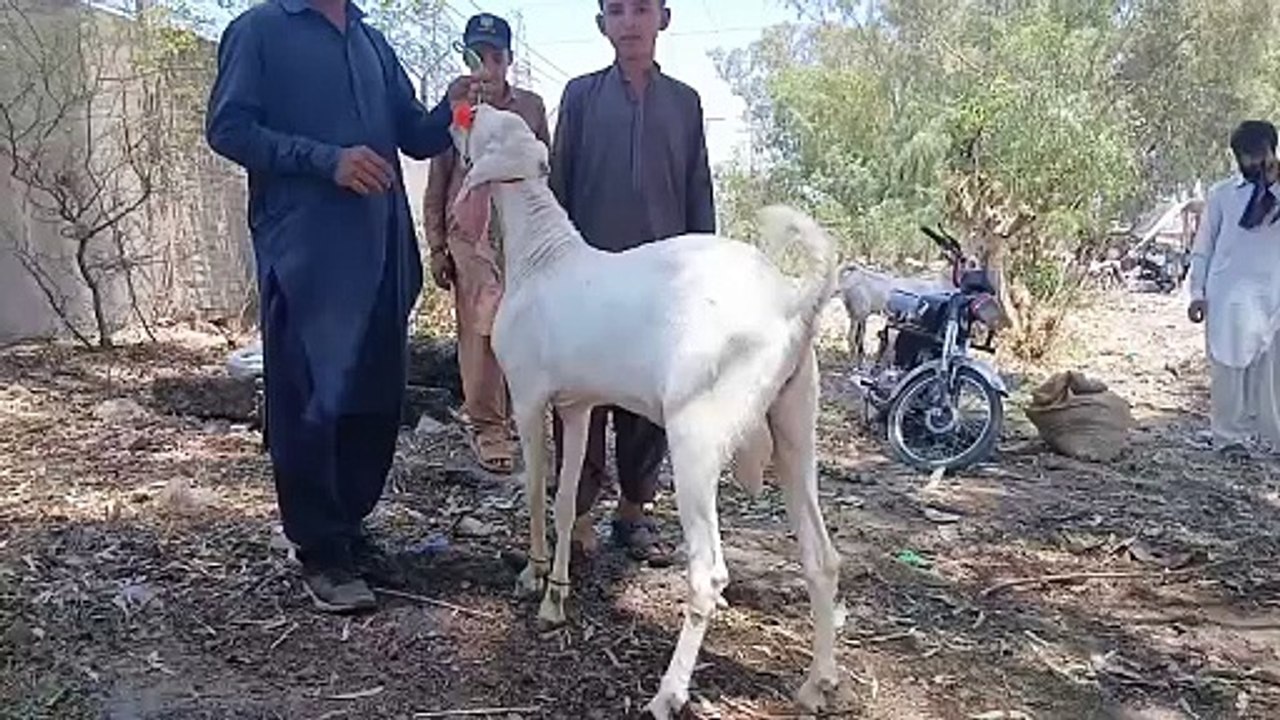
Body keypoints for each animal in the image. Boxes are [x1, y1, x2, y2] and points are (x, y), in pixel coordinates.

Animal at [449, 104, 844, 718]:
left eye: (485, 127)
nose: (461, 110)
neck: (542, 257)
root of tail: (790, 302)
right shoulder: (578, 406)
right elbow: (566, 501)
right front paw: (556, 599)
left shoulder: (530, 398)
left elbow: (535, 492)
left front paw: (532, 578)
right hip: (795, 422)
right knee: (821, 557)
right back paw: (815, 683)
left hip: (696, 437)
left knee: (708, 573)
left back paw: (667, 694)